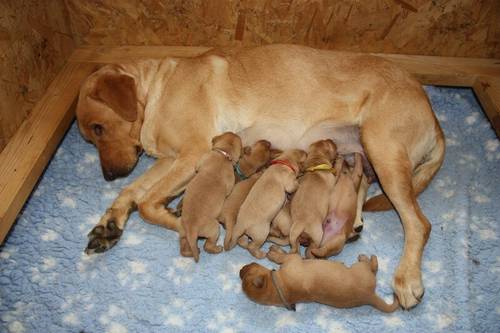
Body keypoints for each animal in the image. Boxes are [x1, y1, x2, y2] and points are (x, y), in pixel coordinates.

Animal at [182, 131, 242, 260]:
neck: (223, 154)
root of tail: (192, 228)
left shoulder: (203, 159)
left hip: (183, 228)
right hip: (215, 229)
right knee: (207, 245)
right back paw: (216, 249)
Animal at [240, 244, 400, 312]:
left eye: (247, 270)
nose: (241, 269)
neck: (278, 288)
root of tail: (369, 296)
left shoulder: (292, 260)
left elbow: (285, 254)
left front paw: (275, 251)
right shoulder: (293, 260)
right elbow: (285, 256)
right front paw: (275, 254)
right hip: (360, 270)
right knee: (373, 266)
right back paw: (367, 257)